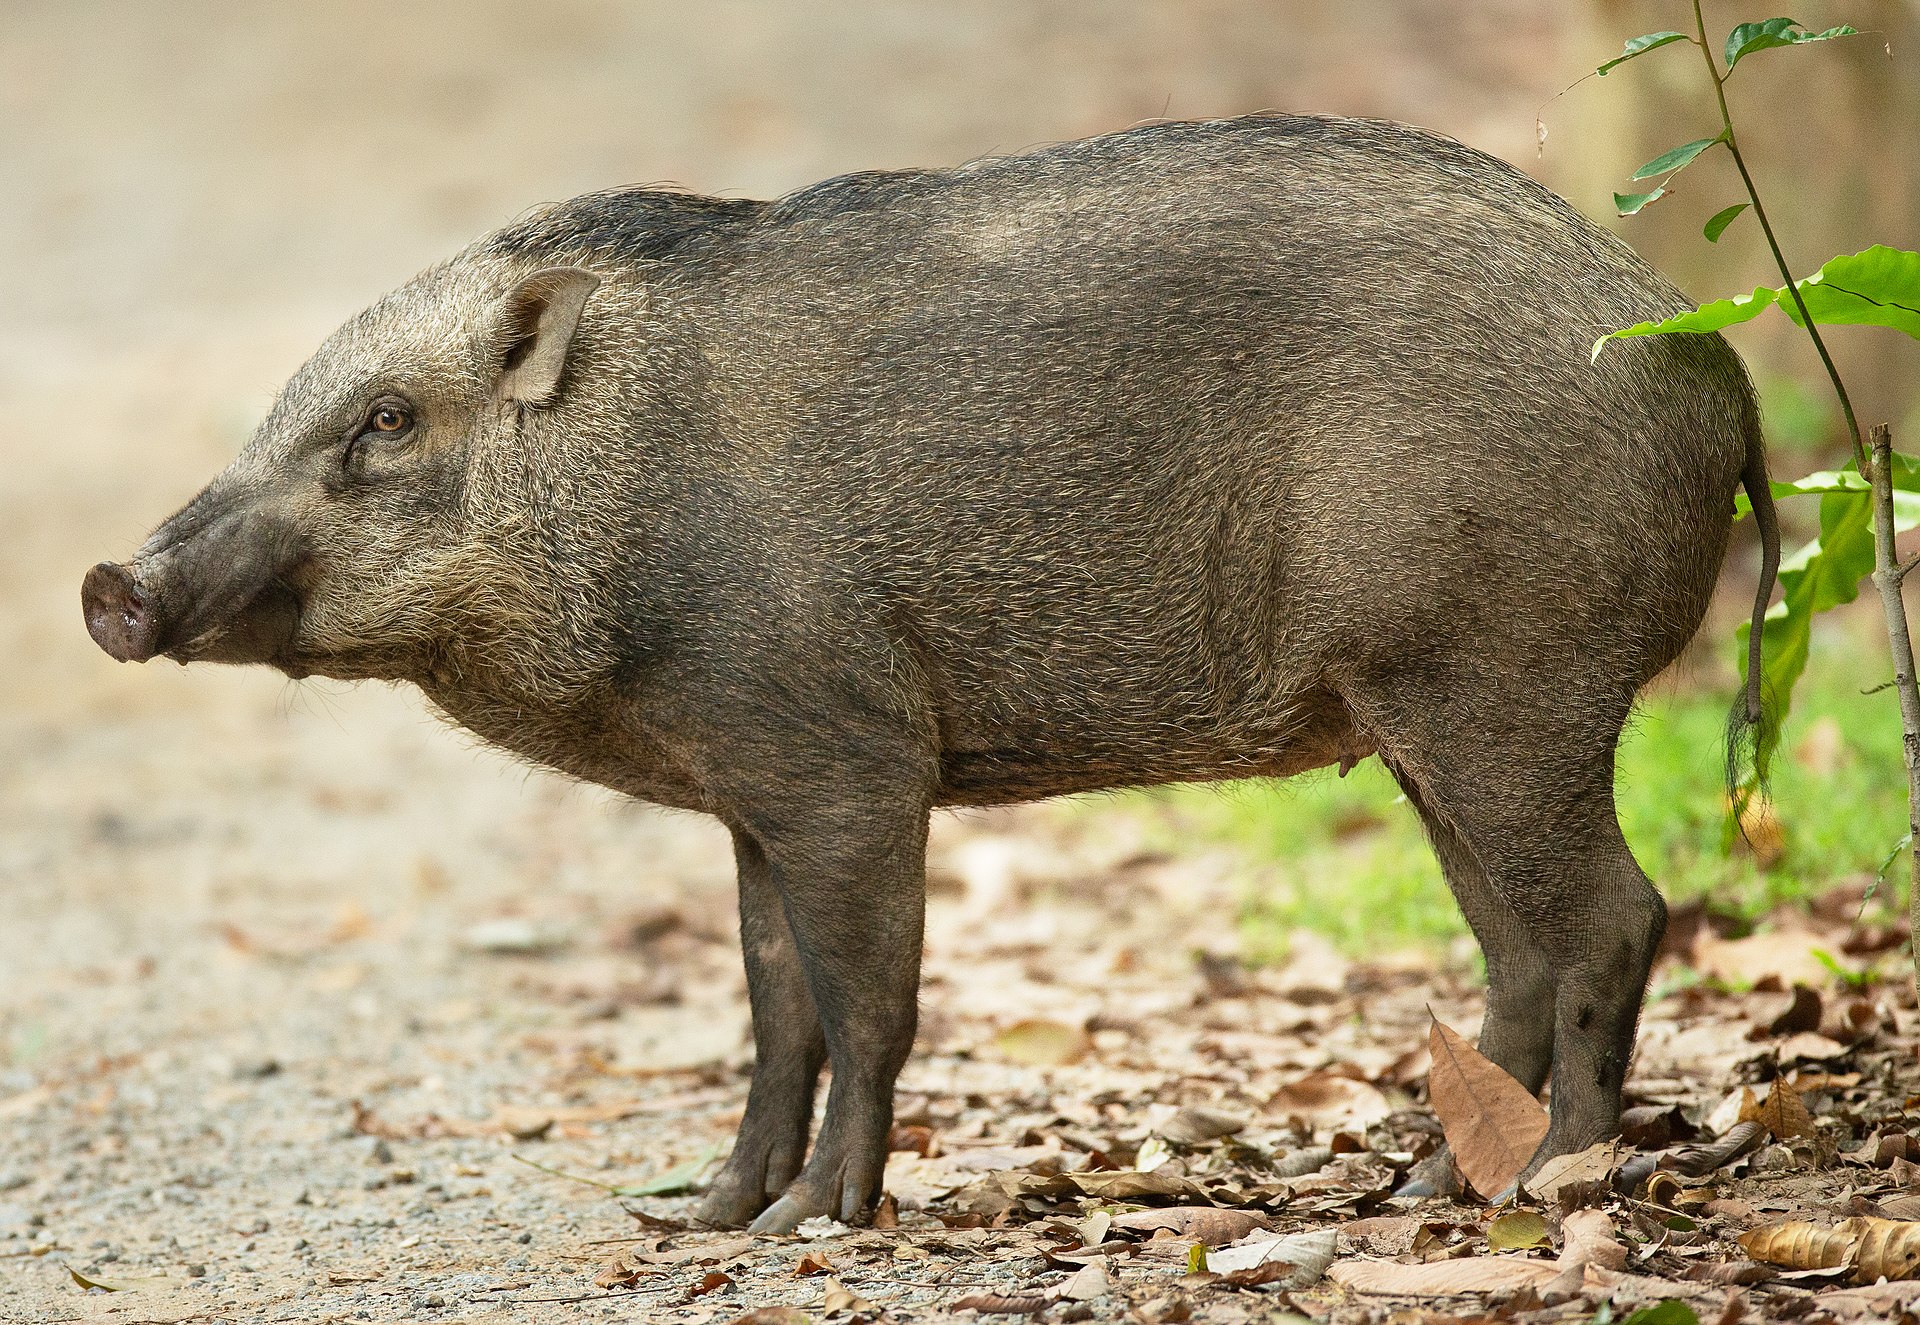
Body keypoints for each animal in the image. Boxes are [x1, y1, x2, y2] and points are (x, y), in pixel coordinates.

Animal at [82, 115, 1779, 1227]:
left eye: (386, 422)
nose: (114, 585)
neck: (625, 490)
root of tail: (1718, 362)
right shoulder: (748, 791)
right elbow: (774, 1009)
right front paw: (704, 1217)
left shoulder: (846, 763)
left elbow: (868, 1002)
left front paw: (810, 1226)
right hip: (1425, 717)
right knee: (1520, 950)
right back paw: (1425, 1183)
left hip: (1499, 685)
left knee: (1613, 918)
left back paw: (1549, 1186)